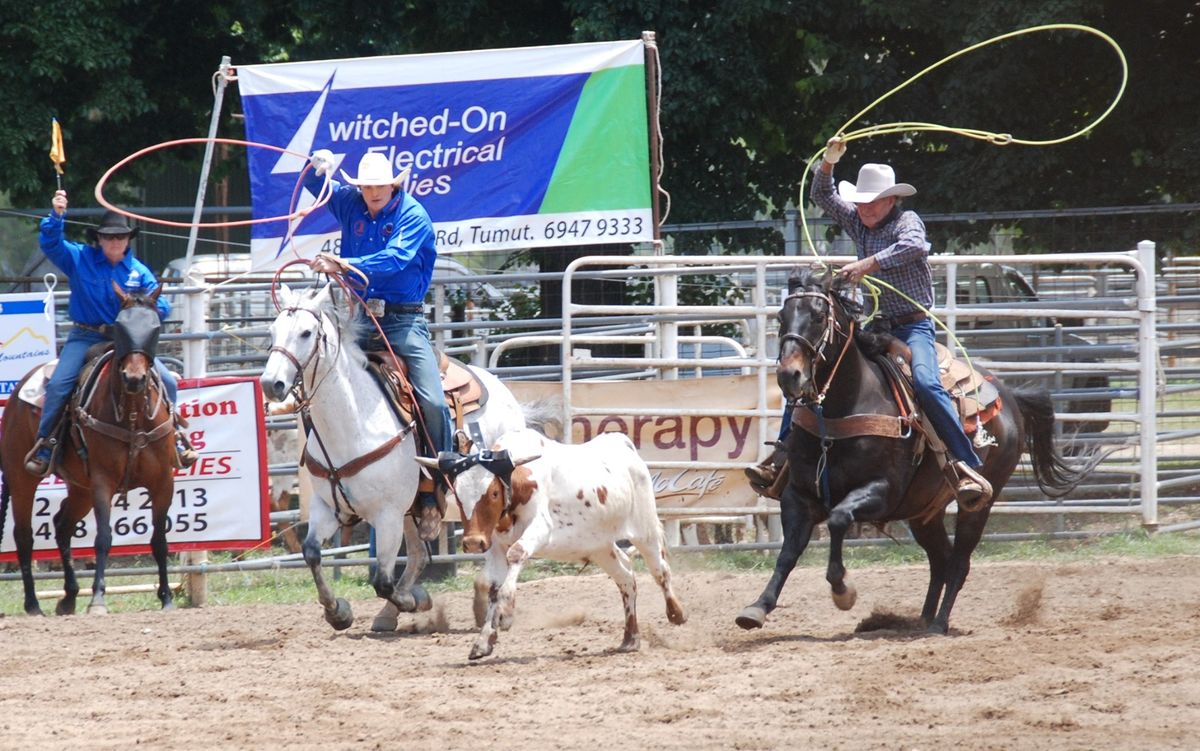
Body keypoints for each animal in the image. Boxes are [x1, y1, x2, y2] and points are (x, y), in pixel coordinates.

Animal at [0, 283, 177, 611]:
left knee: (62, 525)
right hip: (21, 477)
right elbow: (103, 538)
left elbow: (160, 540)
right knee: (24, 535)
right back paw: (33, 604)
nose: (134, 378)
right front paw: (97, 599)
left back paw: (69, 596)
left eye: (155, 328)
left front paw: (167, 598)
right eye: (120, 327)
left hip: (80, 488)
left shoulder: (163, 481)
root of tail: (18, 392)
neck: (133, 416)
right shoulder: (103, 482)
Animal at [260, 283, 528, 628]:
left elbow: (382, 581)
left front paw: (415, 600)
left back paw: (492, 607)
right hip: (413, 508)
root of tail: (503, 390)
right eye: (272, 331)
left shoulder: (387, 515)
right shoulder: (328, 507)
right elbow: (312, 553)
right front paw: (338, 612)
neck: (355, 420)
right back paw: (389, 615)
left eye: (306, 333)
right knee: (420, 555)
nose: (271, 384)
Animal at [734, 266, 1099, 633]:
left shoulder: (883, 491)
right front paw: (757, 607)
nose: (789, 375)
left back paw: (938, 623)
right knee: (940, 559)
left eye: (819, 316)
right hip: (924, 511)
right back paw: (920, 619)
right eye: (781, 317)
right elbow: (788, 552)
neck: (843, 409)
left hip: (980, 503)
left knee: (959, 561)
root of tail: (1010, 397)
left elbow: (838, 519)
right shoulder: (799, 494)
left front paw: (842, 590)